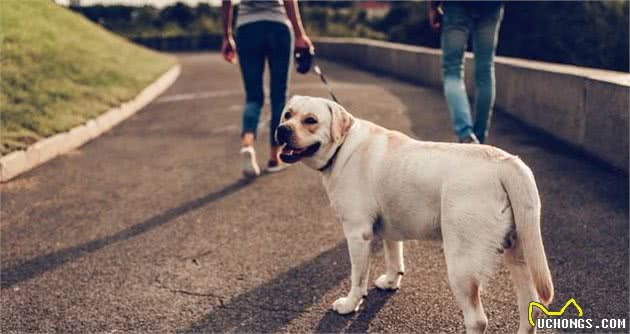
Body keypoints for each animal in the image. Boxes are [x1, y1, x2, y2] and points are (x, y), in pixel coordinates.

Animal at [278, 95, 556, 332]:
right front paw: (391, 281)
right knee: (530, 307)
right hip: (519, 253)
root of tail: (506, 163)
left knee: (477, 320)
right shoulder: (388, 226)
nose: (281, 129)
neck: (343, 147)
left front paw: (349, 304)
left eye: (310, 120)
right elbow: (393, 256)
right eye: (287, 114)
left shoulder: (357, 234)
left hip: (461, 263)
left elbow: (357, 277)